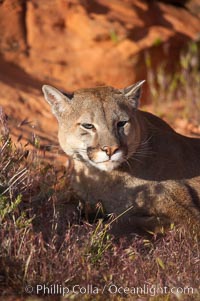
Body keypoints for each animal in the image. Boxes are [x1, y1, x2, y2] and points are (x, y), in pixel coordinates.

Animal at [42, 81, 200, 236]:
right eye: (88, 125)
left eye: (122, 123)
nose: (111, 149)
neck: (102, 178)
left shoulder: (188, 217)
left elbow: (124, 221)